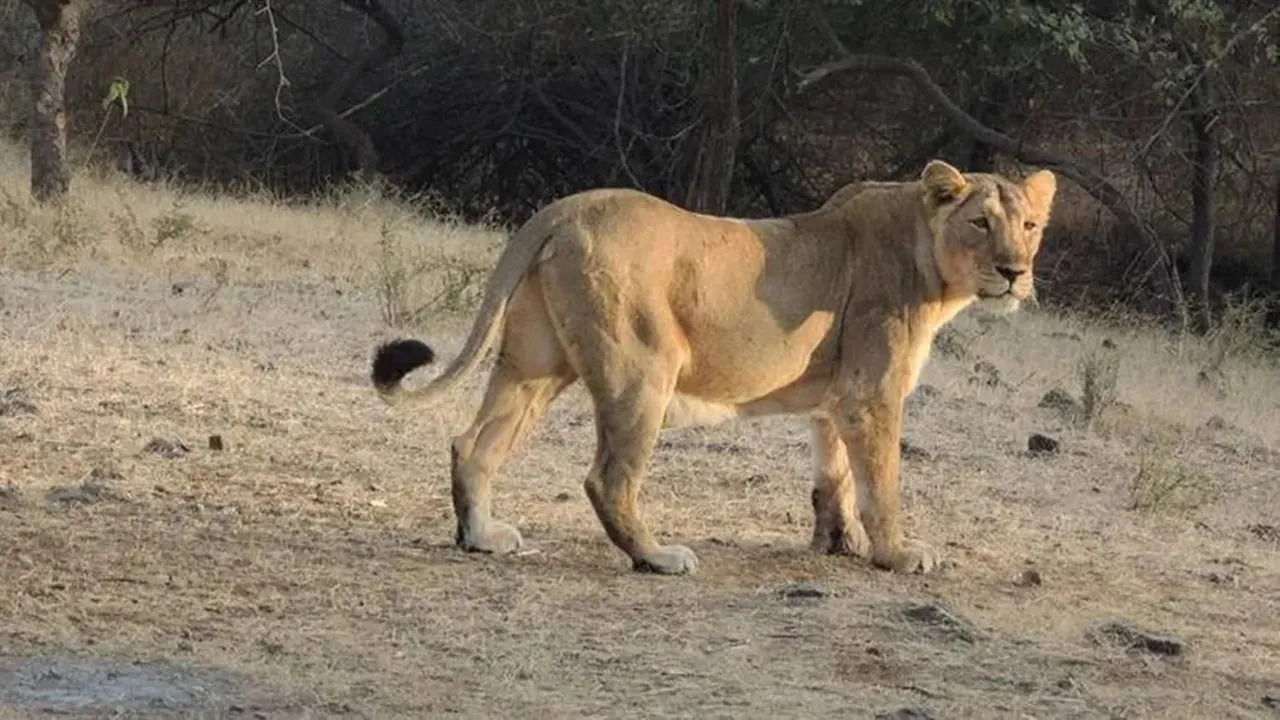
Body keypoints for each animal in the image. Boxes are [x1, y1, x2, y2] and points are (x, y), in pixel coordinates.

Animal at [370, 159, 1057, 576]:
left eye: (1029, 226)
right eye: (980, 223)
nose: (1014, 271)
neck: (929, 262)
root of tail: (565, 208)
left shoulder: (836, 399)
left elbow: (833, 477)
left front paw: (838, 545)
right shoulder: (873, 393)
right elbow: (880, 484)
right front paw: (896, 553)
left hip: (535, 363)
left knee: (472, 444)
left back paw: (482, 536)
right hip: (644, 368)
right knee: (607, 479)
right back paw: (657, 557)